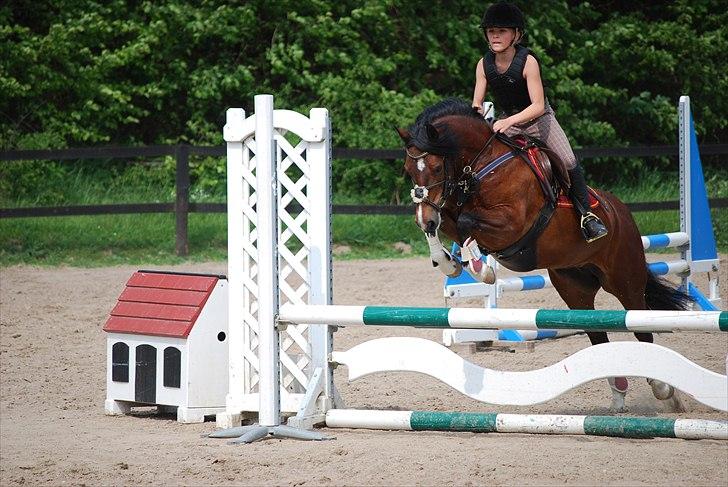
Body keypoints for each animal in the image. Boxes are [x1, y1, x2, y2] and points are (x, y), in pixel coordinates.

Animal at [398, 98, 692, 412]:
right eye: (408, 168)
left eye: (436, 167)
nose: (423, 217)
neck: (481, 165)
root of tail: (621, 212)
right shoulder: (451, 211)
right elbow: (449, 225)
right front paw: (450, 263)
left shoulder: (512, 223)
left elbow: (466, 222)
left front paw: (480, 267)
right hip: (574, 287)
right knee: (597, 334)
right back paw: (618, 394)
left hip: (625, 280)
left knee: (641, 327)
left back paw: (664, 390)